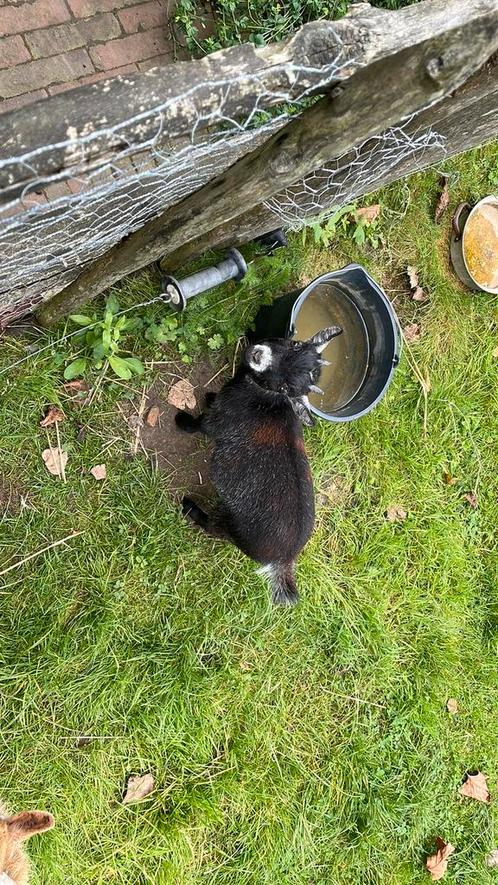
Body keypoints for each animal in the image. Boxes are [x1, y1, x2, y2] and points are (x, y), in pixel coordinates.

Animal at [175, 324, 342, 608]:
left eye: (286, 388)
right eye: (295, 344)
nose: (257, 355)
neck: (264, 393)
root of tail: (284, 560)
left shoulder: (218, 421)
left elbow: (199, 425)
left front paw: (181, 420)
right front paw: (208, 395)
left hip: (231, 527)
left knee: (212, 526)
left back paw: (189, 507)